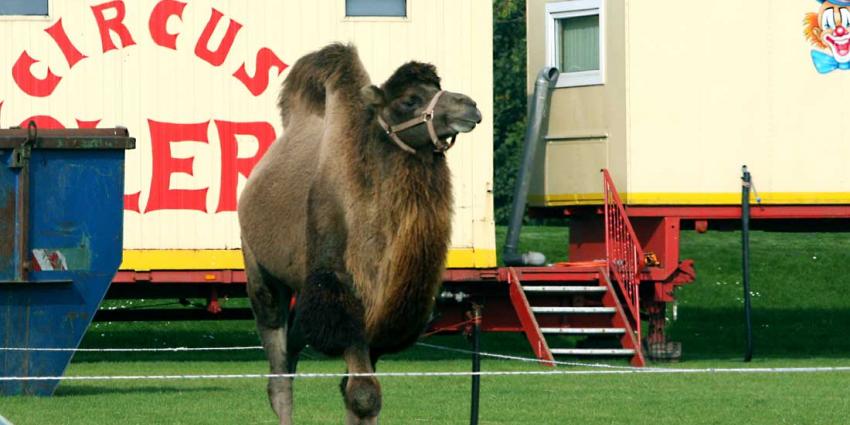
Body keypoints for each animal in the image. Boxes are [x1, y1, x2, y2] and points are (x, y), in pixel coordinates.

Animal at [235, 44, 480, 424]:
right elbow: (364, 394)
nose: (469, 105)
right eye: (409, 99)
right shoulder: (342, 299)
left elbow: (355, 393)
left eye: (436, 87)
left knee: (292, 351)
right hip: (259, 266)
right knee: (278, 366)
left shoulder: (382, 317)